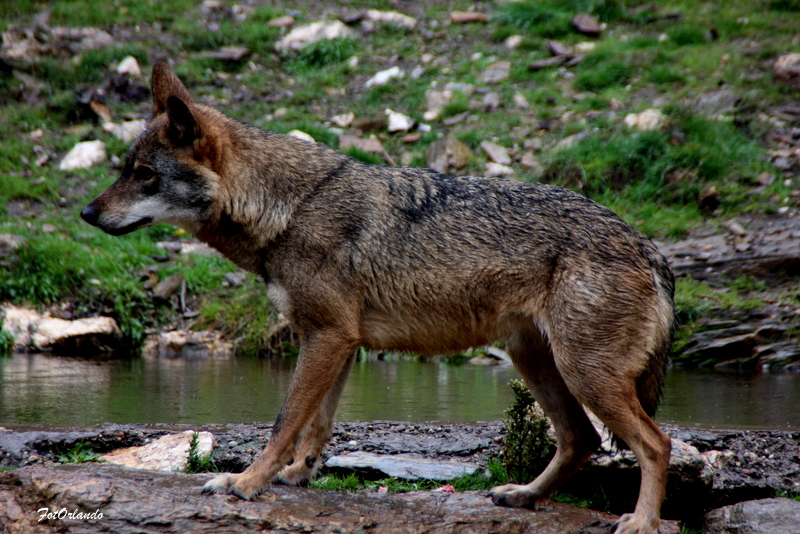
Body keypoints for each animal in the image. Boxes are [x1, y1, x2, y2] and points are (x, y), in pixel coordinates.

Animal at [81, 63, 675, 534]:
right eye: (125, 171)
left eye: (145, 176)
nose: (86, 213)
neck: (287, 208)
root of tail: (648, 247)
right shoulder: (335, 340)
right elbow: (316, 425)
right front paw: (297, 475)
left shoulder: (327, 337)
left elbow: (283, 423)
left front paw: (246, 483)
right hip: (537, 362)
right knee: (581, 440)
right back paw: (524, 496)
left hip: (583, 373)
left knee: (654, 443)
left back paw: (641, 522)